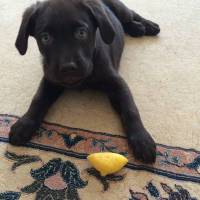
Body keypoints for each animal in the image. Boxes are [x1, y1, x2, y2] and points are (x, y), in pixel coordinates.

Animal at [9, 0, 160, 163]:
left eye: (81, 33)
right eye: (45, 38)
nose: (68, 68)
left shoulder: (117, 84)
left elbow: (130, 109)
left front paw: (141, 139)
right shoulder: (50, 79)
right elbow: (38, 99)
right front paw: (24, 124)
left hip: (120, 8)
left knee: (131, 14)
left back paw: (147, 26)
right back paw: (137, 28)